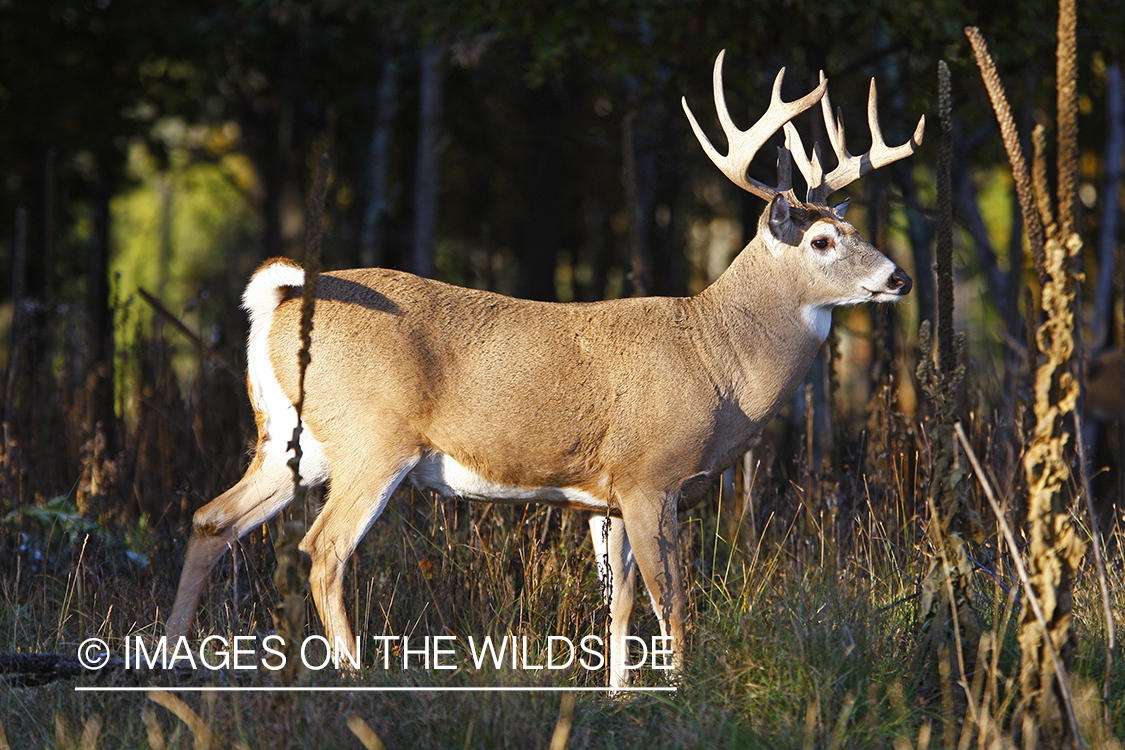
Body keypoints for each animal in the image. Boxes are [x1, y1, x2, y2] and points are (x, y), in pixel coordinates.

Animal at [164, 49, 922, 688]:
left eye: (855, 229)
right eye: (821, 240)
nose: (900, 277)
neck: (721, 361)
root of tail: (280, 297)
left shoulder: (604, 496)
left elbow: (619, 604)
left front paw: (619, 696)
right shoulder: (651, 474)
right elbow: (671, 600)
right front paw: (682, 694)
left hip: (293, 441)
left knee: (210, 518)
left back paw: (169, 661)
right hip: (373, 438)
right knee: (323, 549)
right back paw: (352, 679)